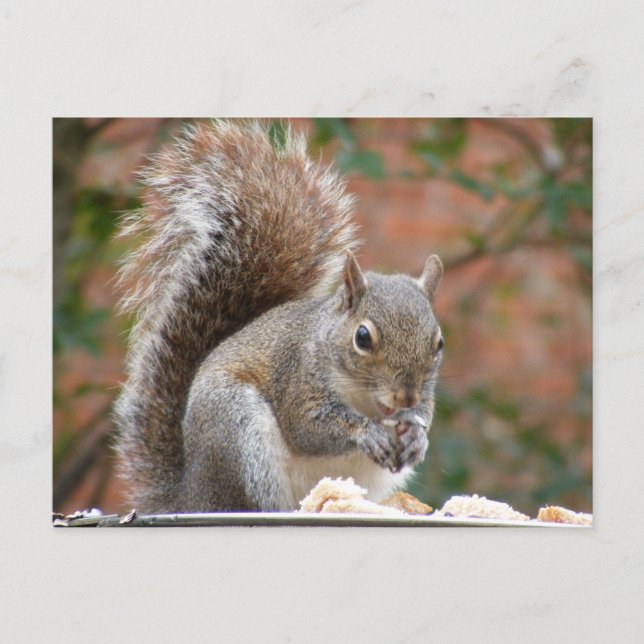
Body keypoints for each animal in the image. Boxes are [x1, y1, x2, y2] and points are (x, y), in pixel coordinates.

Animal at [114, 120, 444, 513]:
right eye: (362, 338)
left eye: (439, 343)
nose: (406, 397)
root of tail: (190, 497)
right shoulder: (296, 376)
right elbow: (307, 426)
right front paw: (368, 432)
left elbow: (424, 417)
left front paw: (417, 437)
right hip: (236, 430)